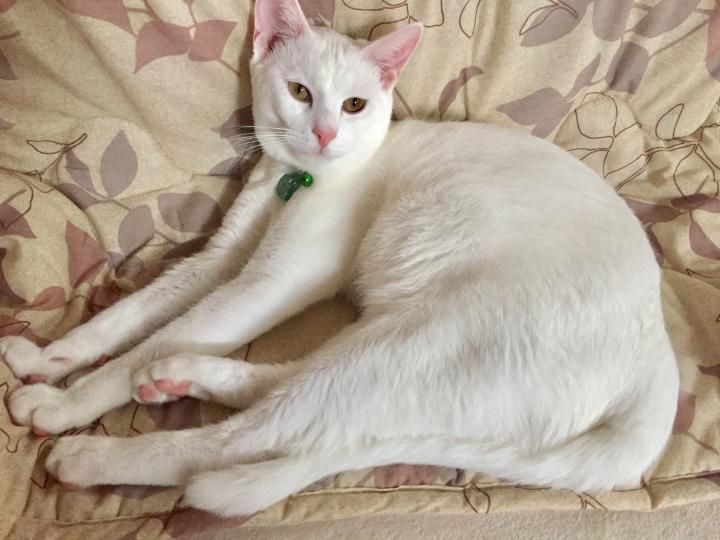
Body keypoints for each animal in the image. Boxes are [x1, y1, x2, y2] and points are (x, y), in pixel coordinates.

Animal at [0, 0, 678, 517]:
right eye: (299, 92)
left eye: (355, 106)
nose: (324, 132)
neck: (292, 180)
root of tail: (659, 365)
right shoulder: (220, 259)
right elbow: (128, 317)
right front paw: (49, 358)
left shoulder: (267, 282)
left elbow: (138, 348)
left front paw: (64, 404)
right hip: (380, 344)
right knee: (289, 394)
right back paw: (177, 377)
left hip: (415, 341)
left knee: (244, 439)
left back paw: (94, 452)